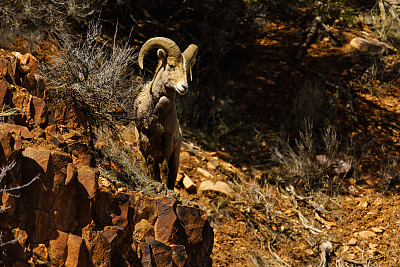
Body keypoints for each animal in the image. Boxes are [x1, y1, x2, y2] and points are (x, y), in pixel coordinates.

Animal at [134, 37, 198, 189]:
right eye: (171, 65)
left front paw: (163, 186)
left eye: (186, 70)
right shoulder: (144, 134)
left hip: (175, 158)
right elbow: (152, 163)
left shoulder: (167, 139)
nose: (184, 87)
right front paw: (154, 181)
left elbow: (164, 168)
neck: (156, 115)